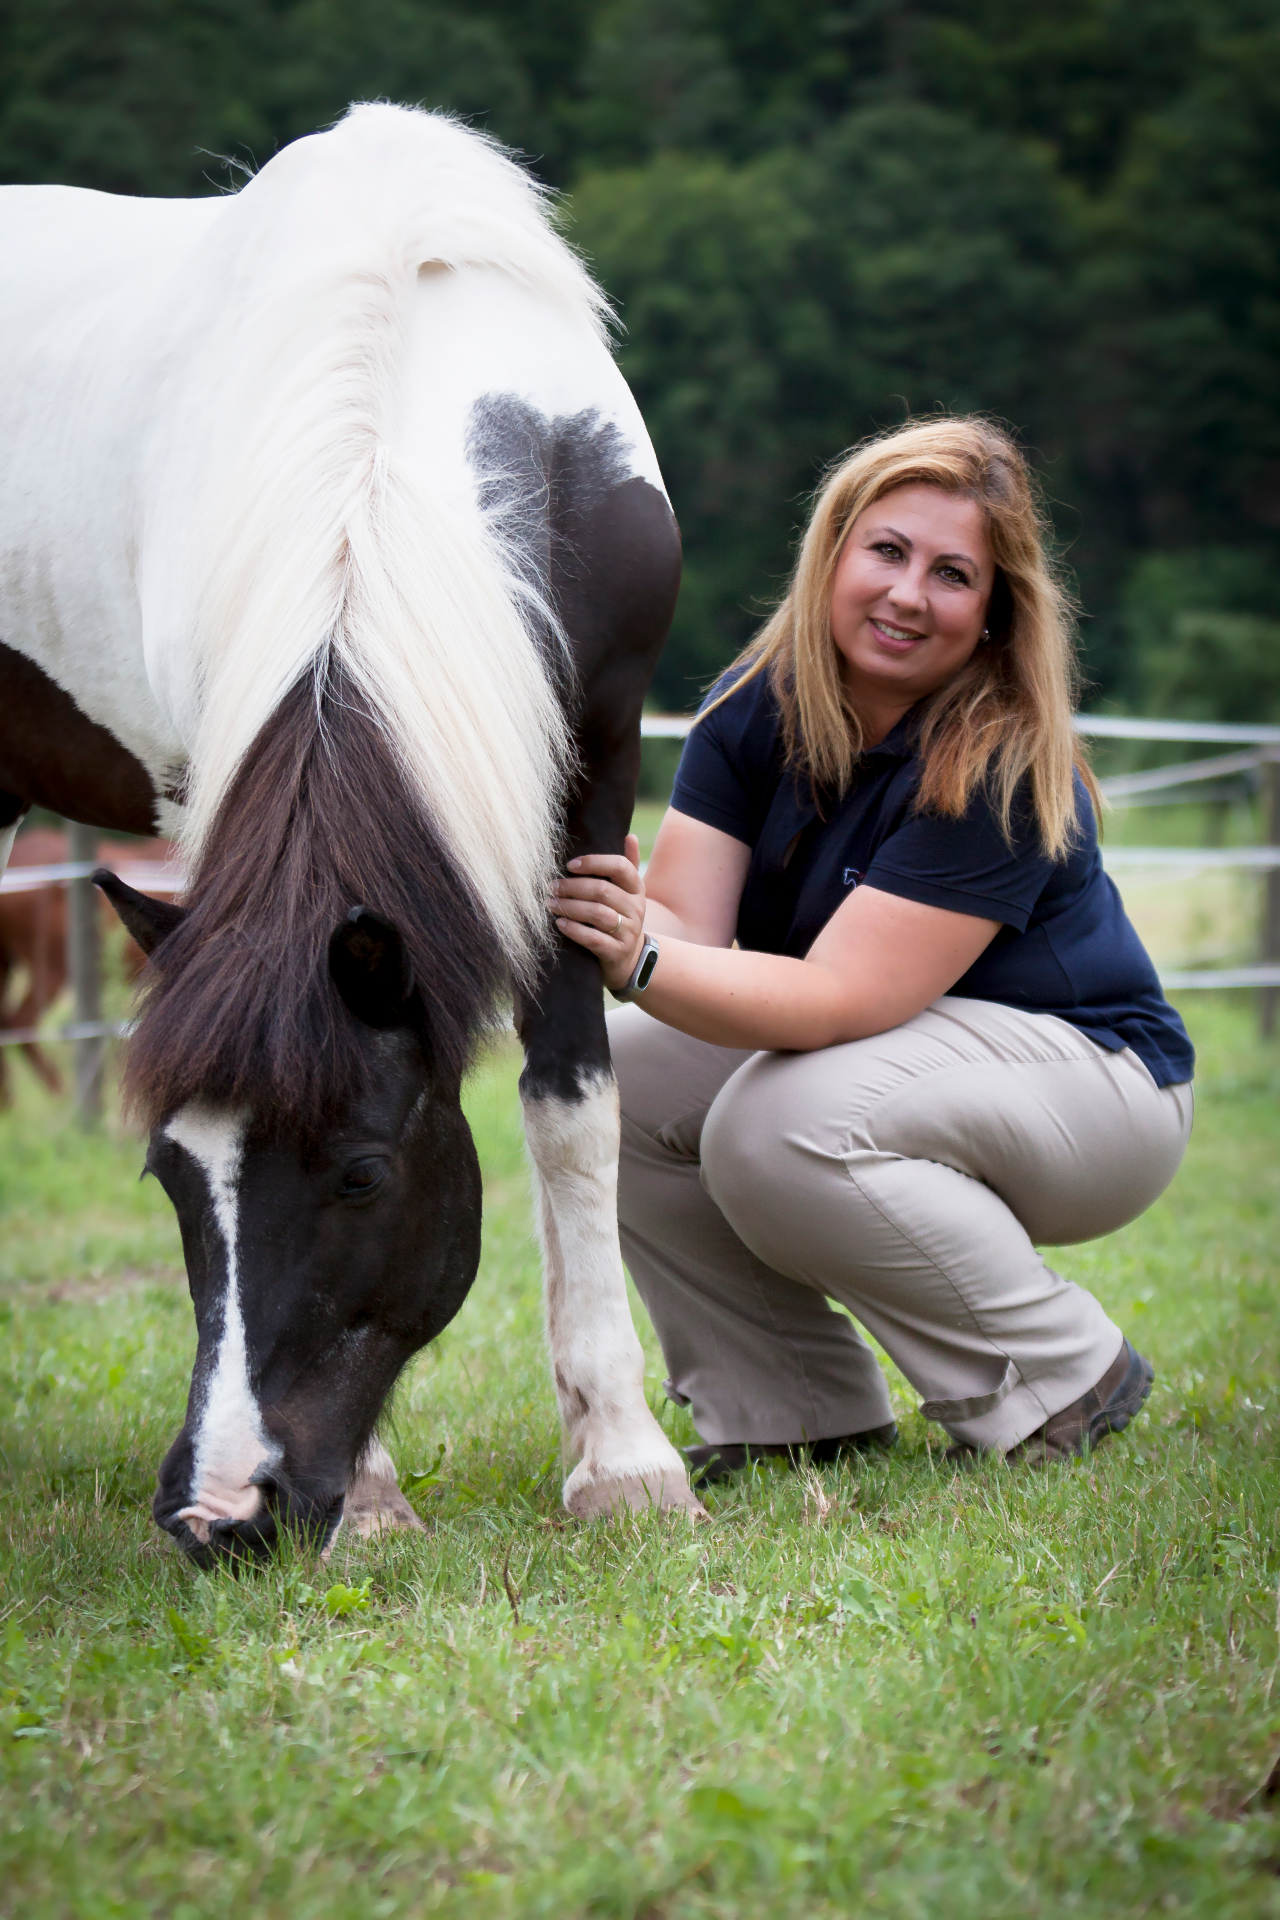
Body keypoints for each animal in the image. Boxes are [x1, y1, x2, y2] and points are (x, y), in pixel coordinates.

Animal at [0, 103, 703, 1562]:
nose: (220, 1513)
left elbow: (573, 1104)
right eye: (167, 1177)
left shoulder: (598, 765)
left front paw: (621, 1459)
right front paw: (375, 1503)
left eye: (365, 1178)